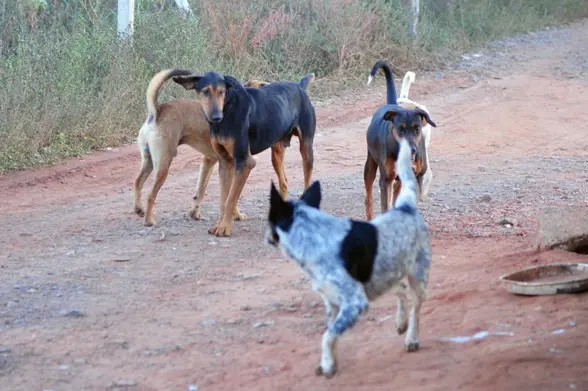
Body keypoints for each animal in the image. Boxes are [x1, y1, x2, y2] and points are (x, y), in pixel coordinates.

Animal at [172, 71, 314, 237]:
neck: (227, 111)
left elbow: (231, 199)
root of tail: (299, 86)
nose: (216, 117)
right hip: (276, 153)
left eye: (222, 92)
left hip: (306, 149)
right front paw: (220, 224)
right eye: (205, 91)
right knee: (284, 182)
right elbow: (224, 198)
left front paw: (225, 227)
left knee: (307, 180)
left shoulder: (245, 162)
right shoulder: (225, 162)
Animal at [266, 138, 432, 380]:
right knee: (400, 289)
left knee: (416, 309)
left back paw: (412, 338)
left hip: (416, 277)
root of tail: (405, 207)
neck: (315, 236)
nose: (266, 237)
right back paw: (400, 323)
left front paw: (327, 365)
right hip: (380, 277)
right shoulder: (333, 302)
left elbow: (328, 336)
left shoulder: (355, 303)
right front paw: (329, 363)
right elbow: (331, 334)